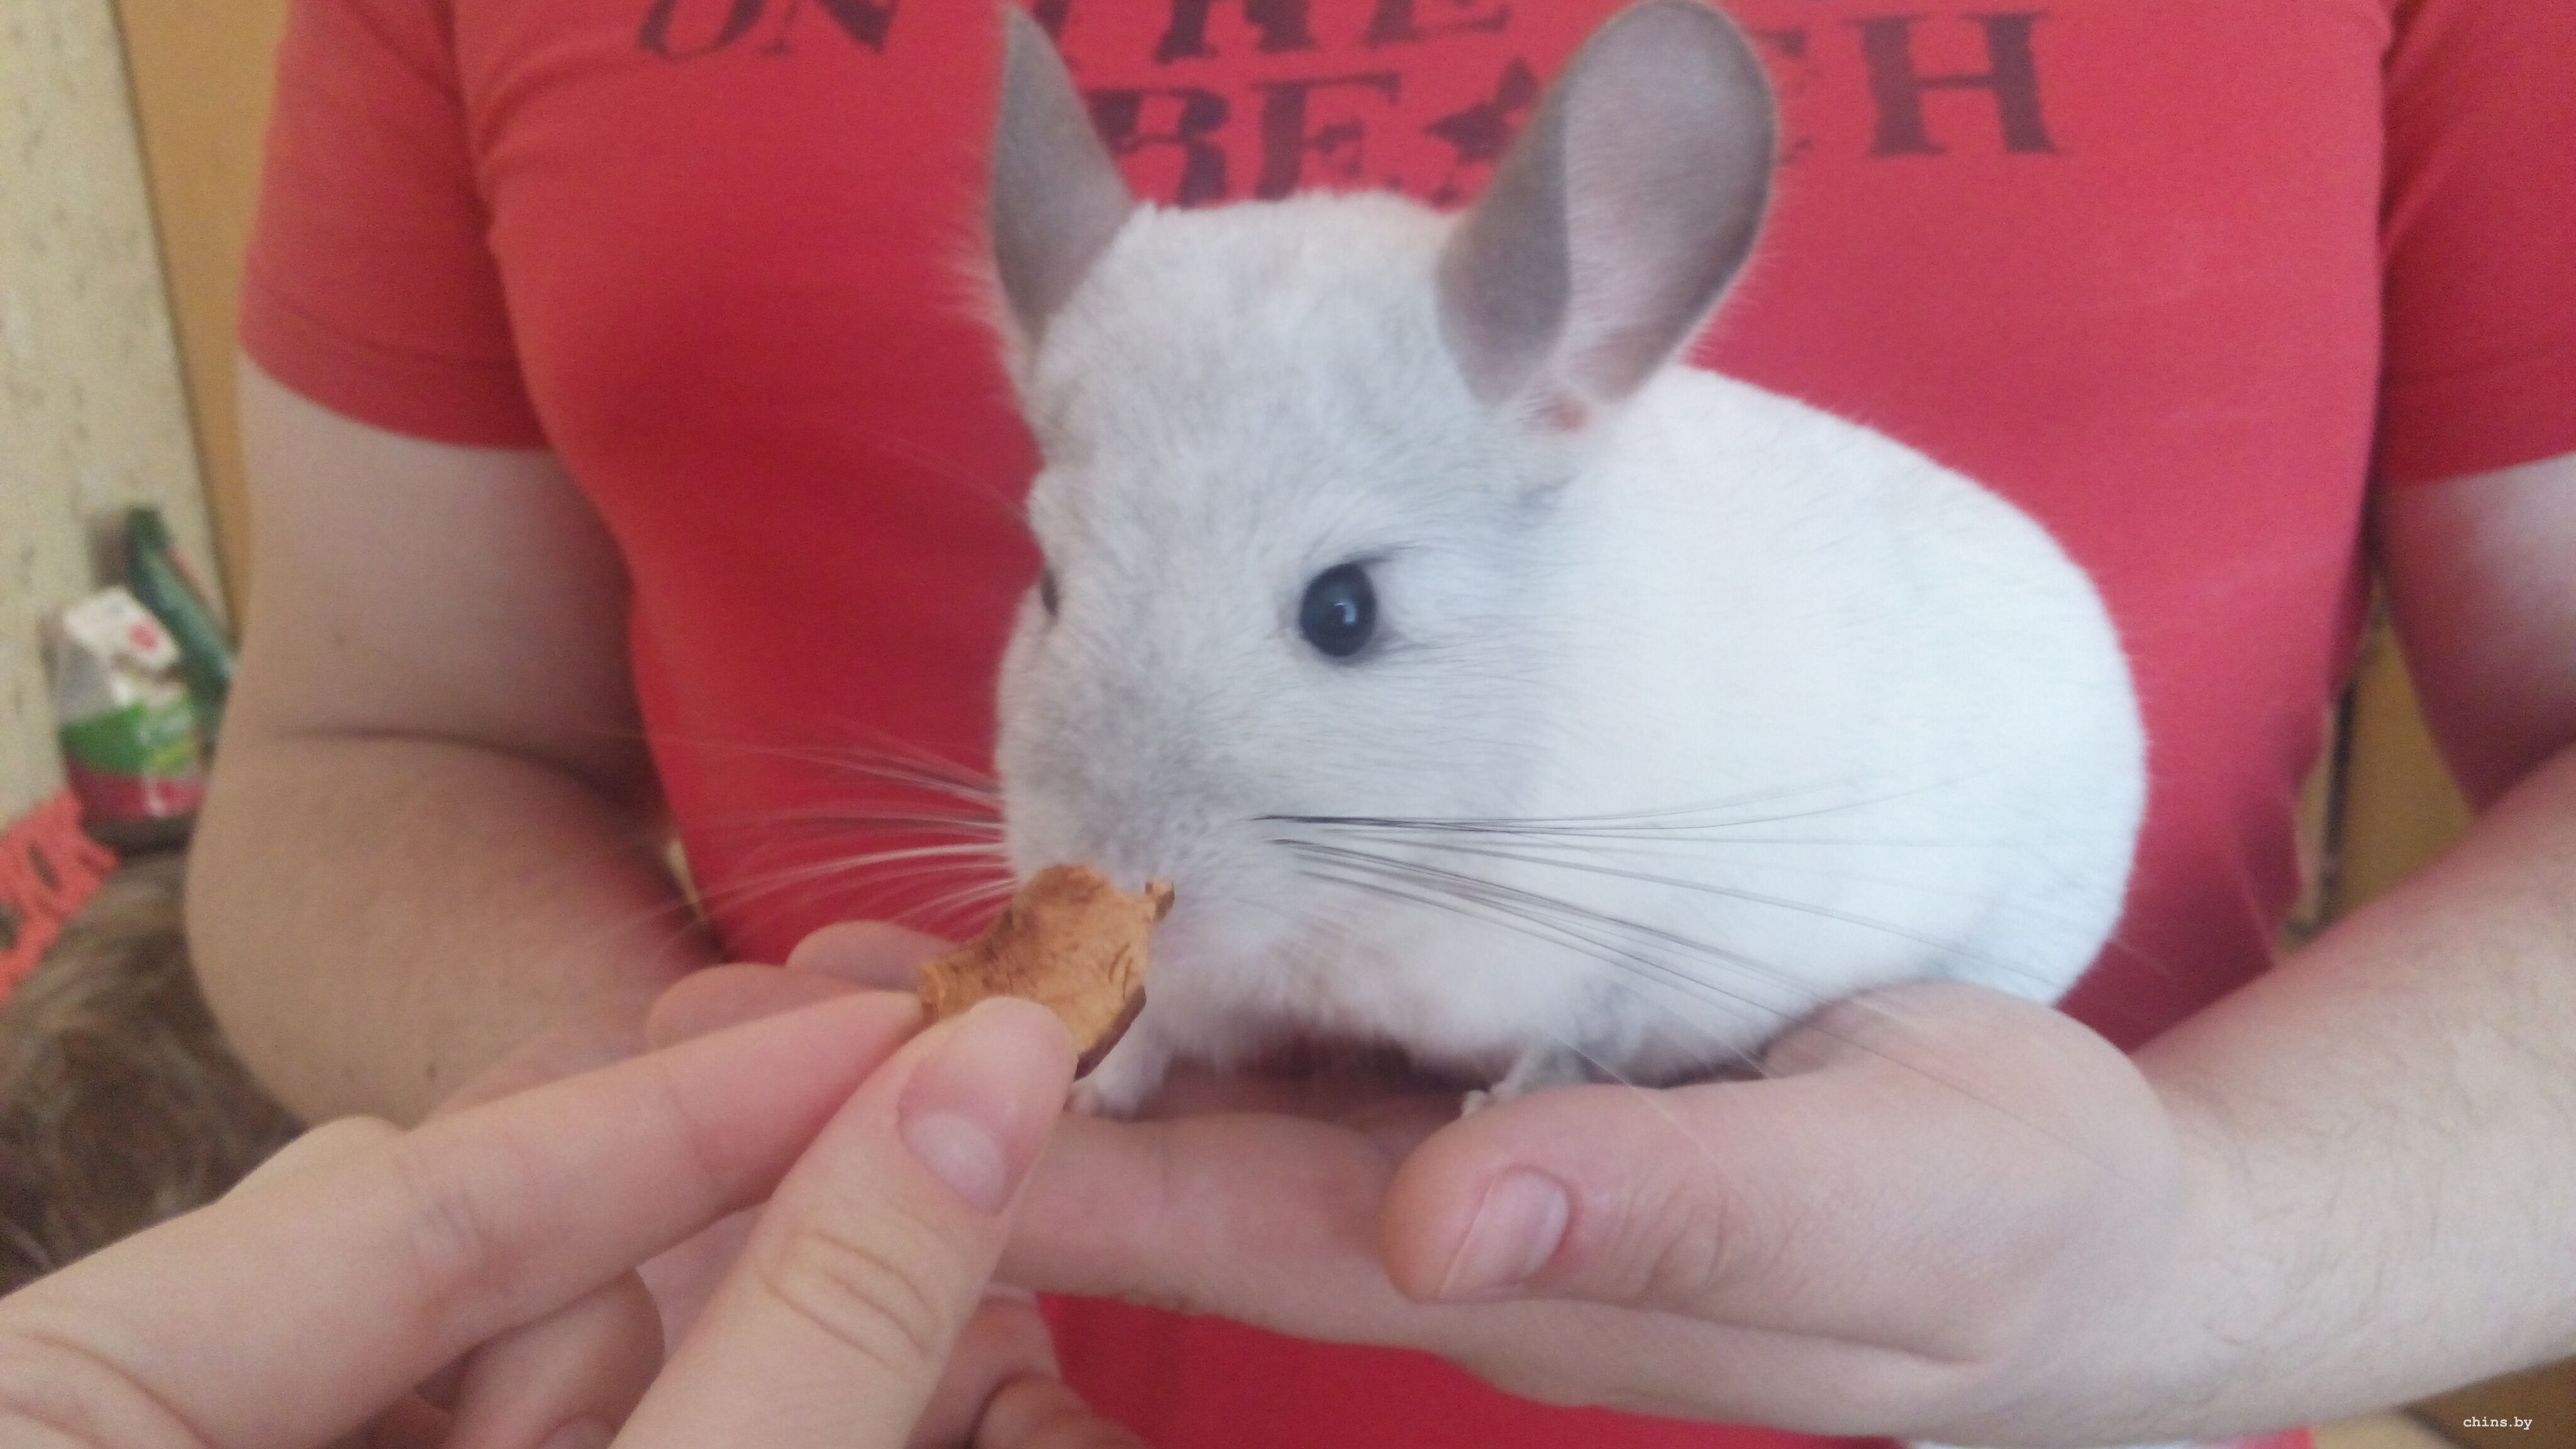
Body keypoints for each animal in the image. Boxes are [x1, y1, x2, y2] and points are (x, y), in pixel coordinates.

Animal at [981, 0, 2146, 1117]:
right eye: (1050, 585)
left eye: (1345, 610)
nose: (1113, 869)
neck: (1357, 907)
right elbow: (1163, 1022)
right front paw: (1088, 1086)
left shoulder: (1641, 948)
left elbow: (1584, 1039)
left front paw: (1497, 1105)